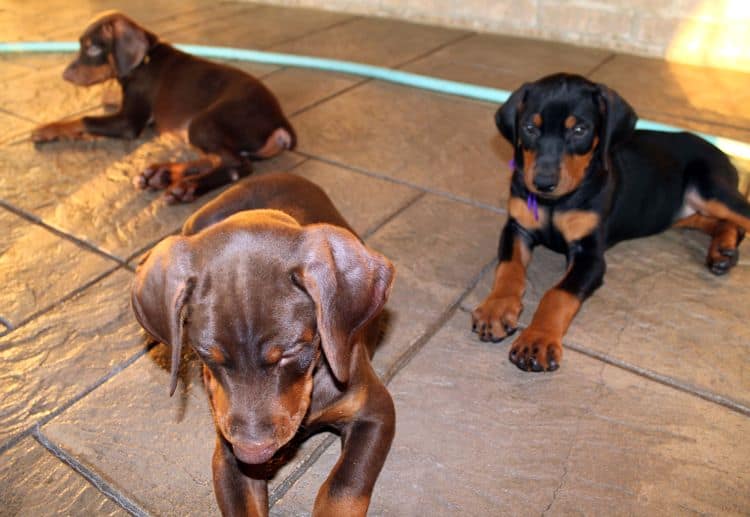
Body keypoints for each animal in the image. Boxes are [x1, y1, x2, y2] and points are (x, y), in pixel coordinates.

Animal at [32, 11, 296, 203]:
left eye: (93, 47)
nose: (65, 75)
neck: (145, 59)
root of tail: (280, 123)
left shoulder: (127, 123)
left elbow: (84, 120)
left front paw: (46, 129)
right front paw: (109, 95)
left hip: (203, 123)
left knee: (235, 165)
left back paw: (186, 187)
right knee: (217, 158)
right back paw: (161, 175)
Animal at [132, 173, 396, 516]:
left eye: (291, 353)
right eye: (205, 355)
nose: (253, 454)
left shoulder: (375, 411)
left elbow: (343, 486)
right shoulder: (227, 455)